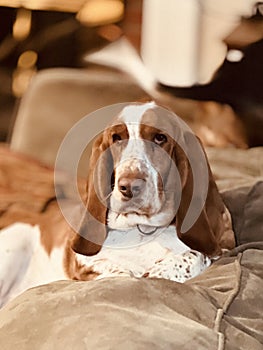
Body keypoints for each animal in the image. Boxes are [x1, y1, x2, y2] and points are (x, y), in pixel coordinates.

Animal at [0, 100, 235, 306]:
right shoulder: (84, 263)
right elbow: (121, 274)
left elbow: (195, 255)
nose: (129, 187)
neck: (142, 229)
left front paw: (161, 271)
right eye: (116, 138)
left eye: (160, 138)